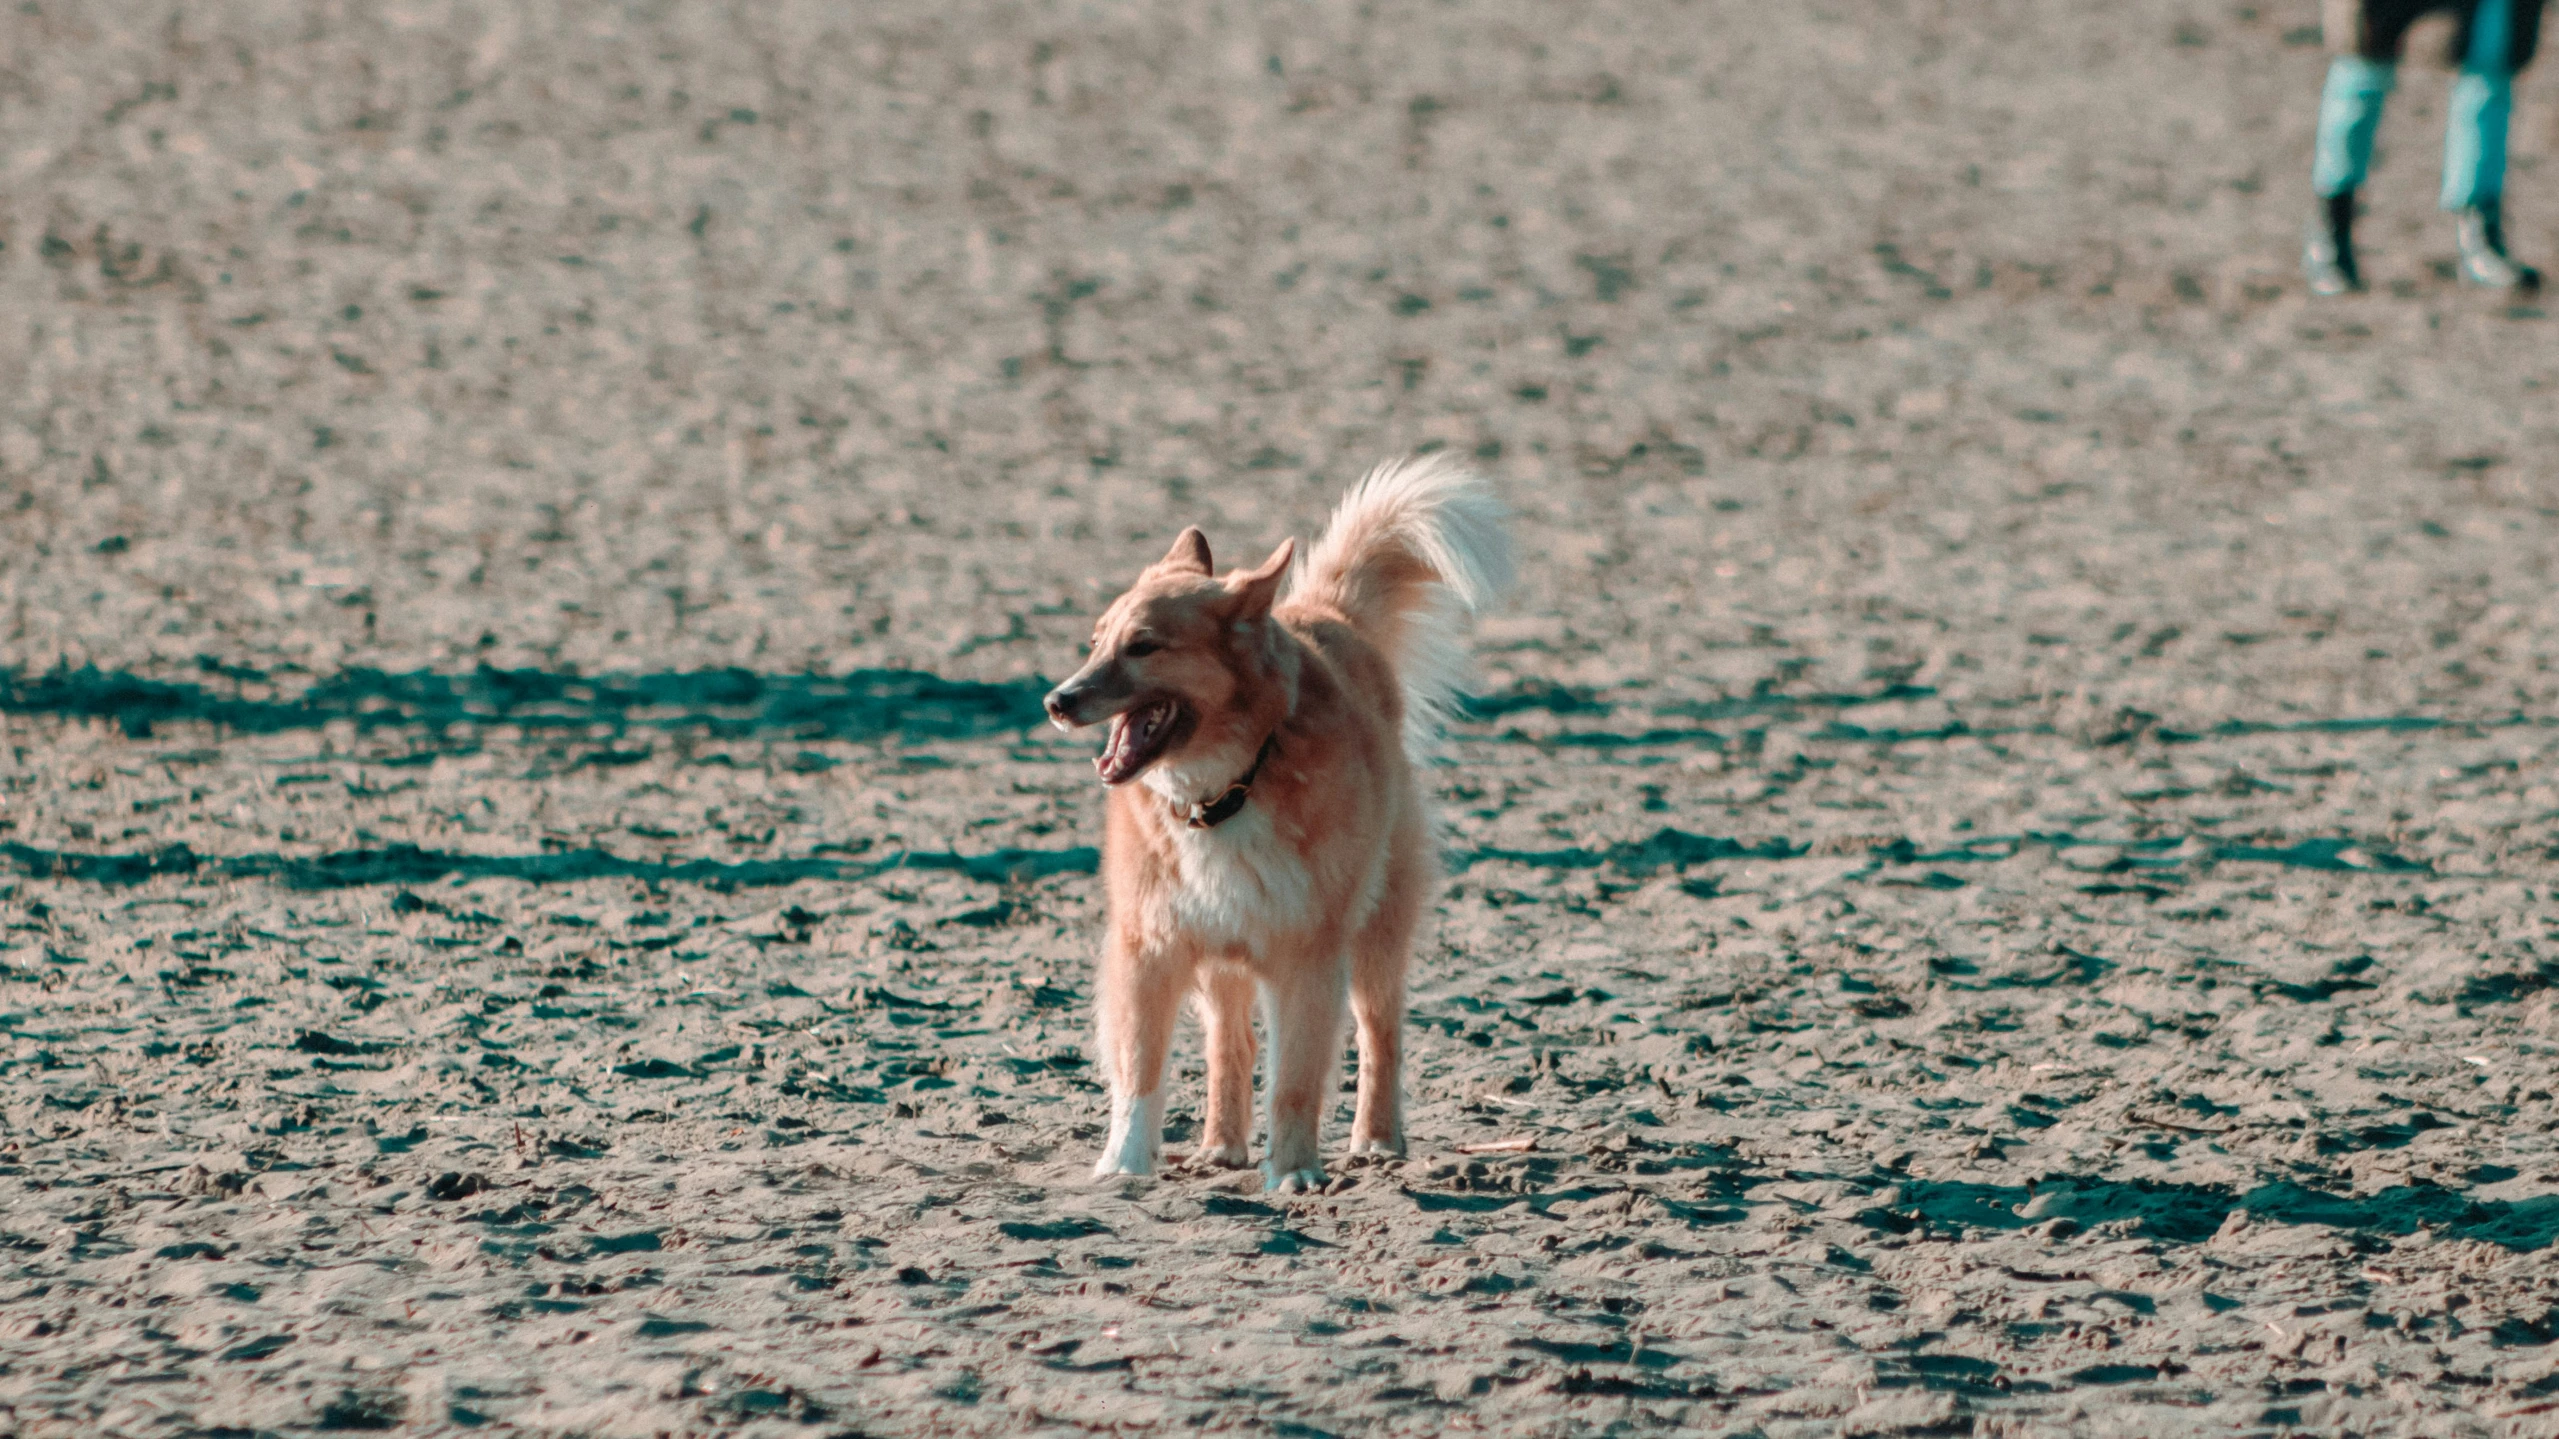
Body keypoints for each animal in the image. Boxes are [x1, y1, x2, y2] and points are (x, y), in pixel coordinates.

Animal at [1044, 450, 1504, 1188]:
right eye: (1094, 642)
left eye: (1143, 645)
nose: (1056, 701)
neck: (1226, 789)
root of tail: (1325, 611)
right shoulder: (1150, 947)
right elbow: (1140, 1069)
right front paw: (1124, 1163)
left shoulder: (1308, 954)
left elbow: (1295, 1080)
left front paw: (1291, 1172)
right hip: (1221, 954)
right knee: (1229, 1044)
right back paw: (1220, 1144)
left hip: (1376, 932)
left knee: (1380, 1034)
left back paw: (1377, 1138)